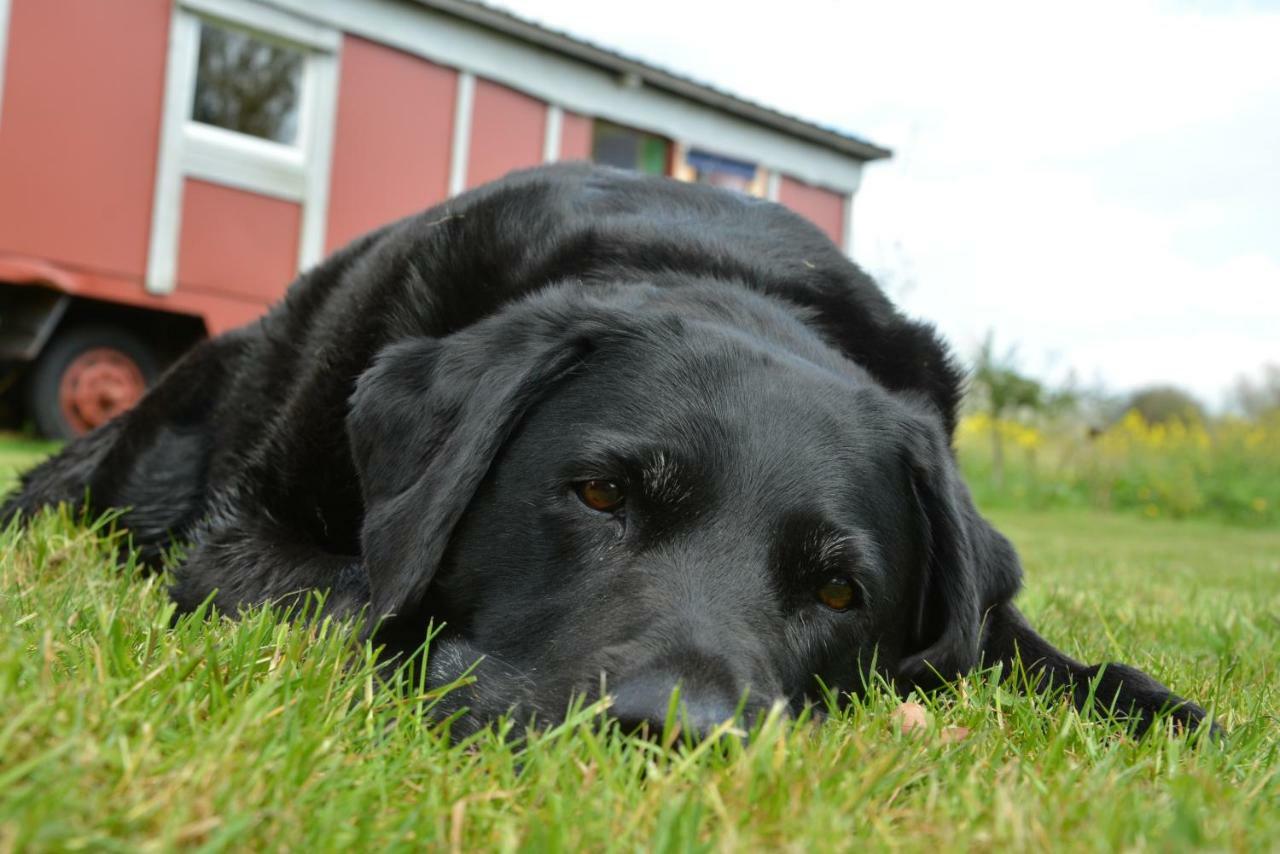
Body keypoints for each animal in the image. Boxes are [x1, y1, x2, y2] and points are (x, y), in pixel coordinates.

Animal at [2, 163, 1218, 737]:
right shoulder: (242, 539)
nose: (669, 732)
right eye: (595, 493)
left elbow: (1045, 656)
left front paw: (1169, 718)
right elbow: (363, 597)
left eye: (840, 592)